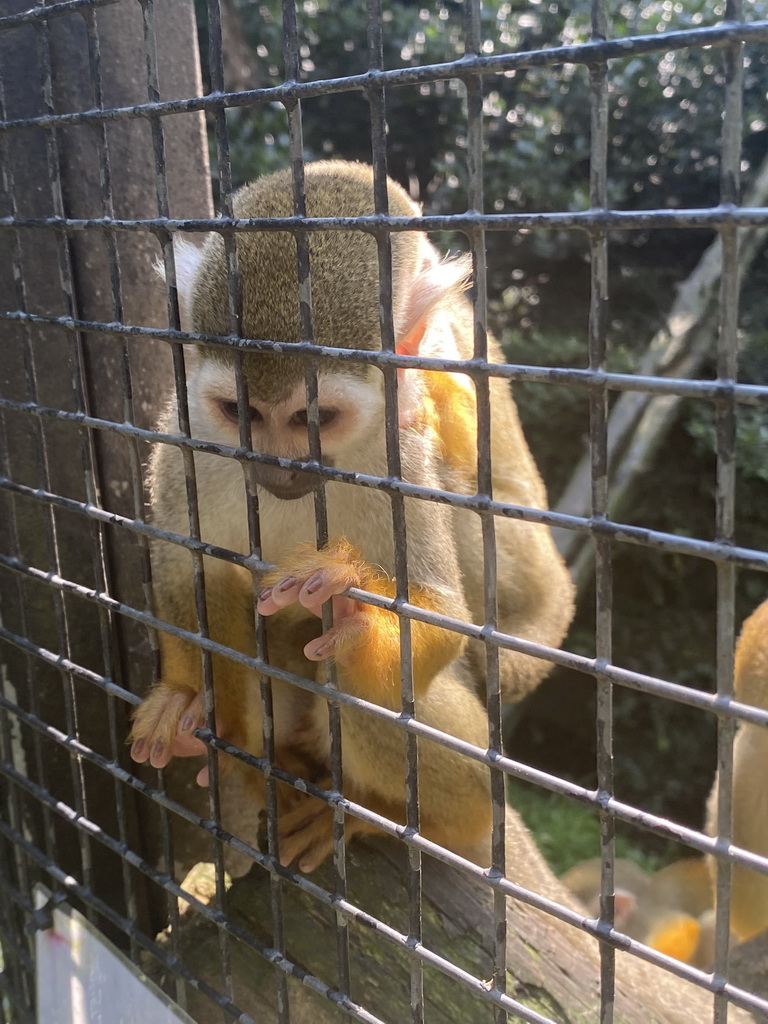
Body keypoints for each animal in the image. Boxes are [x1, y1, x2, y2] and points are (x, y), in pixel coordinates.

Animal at [129, 159, 573, 872]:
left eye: (315, 419)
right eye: (240, 412)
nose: (277, 469)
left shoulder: (403, 453)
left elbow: (439, 610)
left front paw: (352, 610)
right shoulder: (186, 434)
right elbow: (185, 563)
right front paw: (201, 712)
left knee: (369, 694)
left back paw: (402, 817)